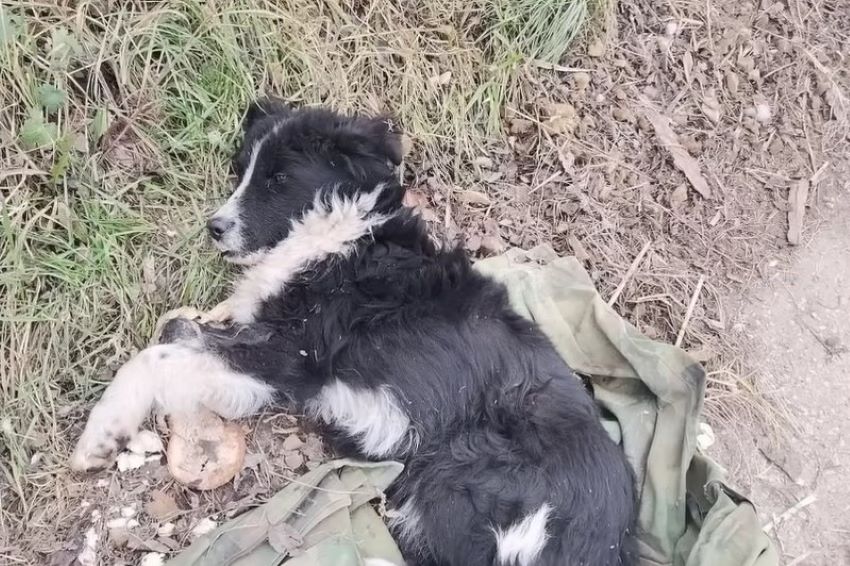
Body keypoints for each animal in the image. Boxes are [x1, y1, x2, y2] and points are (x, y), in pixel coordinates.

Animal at [73, 100, 636, 564]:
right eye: (241, 171)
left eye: (279, 179)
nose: (214, 228)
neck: (336, 236)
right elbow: (179, 328)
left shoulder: (286, 360)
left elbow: (154, 356)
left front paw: (100, 437)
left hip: (464, 488)